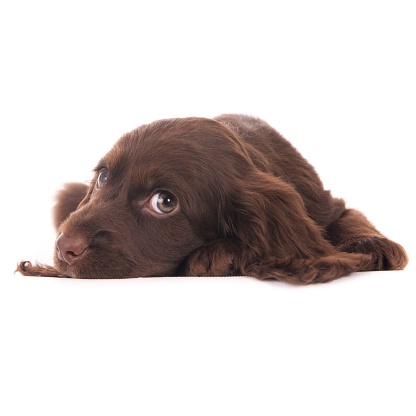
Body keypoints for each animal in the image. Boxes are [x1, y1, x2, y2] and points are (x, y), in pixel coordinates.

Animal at [17, 113, 410, 282]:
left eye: (165, 202)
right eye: (102, 177)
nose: (65, 247)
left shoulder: (324, 205)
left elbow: (350, 219)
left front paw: (374, 245)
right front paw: (221, 254)